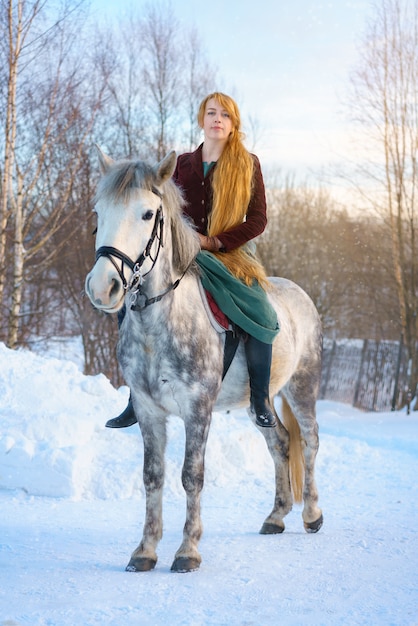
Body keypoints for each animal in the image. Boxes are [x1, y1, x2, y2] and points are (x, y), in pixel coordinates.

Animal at [85, 147, 324, 572]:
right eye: (99, 211)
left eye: (148, 214)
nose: (103, 287)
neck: (160, 323)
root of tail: (300, 294)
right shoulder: (148, 409)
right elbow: (152, 475)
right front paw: (144, 550)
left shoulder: (198, 408)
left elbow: (191, 475)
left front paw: (187, 550)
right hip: (259, 401)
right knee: (279, 441)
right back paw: (276, 516)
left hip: (303, 386)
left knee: (309, 441)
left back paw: (312, 514)